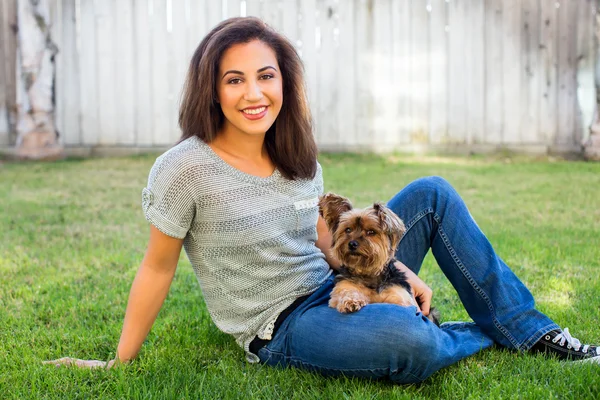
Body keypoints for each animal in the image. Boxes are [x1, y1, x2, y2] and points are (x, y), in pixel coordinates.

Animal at [318, 192, 440, 326]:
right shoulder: (344, 286)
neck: (368, 273)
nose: (352, 244)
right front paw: (351, 301)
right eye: (348, 229)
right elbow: (345, 292)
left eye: (371, 232)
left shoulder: (398, 293)